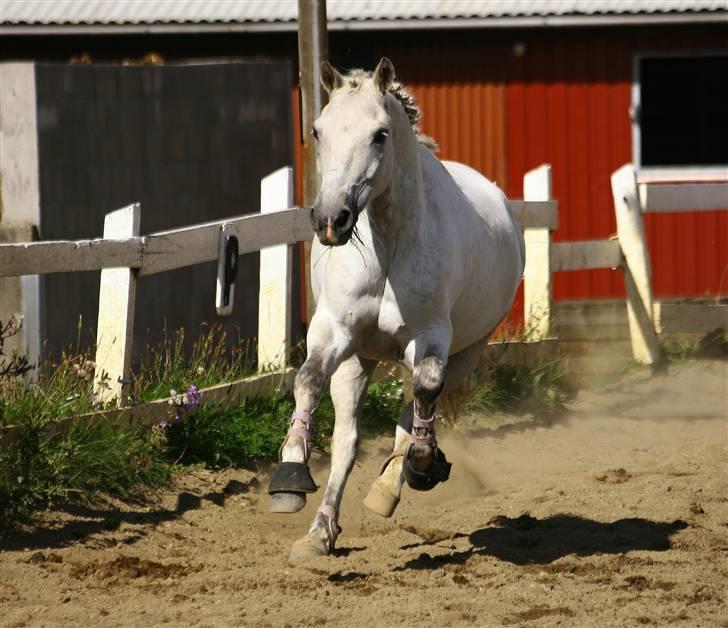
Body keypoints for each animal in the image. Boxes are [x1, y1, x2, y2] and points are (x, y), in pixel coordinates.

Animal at [268, 59, 524, 560]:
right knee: (347, 440)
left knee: (417, 407)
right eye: (318, 130)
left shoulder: (431, 338)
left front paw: (421, 464)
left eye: (379, 135)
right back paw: (320, 532)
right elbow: (308, 381)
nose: (331, 220)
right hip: (359, 361)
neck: (387, 244)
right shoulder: (333, 331)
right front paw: (289, 479)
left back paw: (390, 486)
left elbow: (423, 392)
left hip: (466, 352)